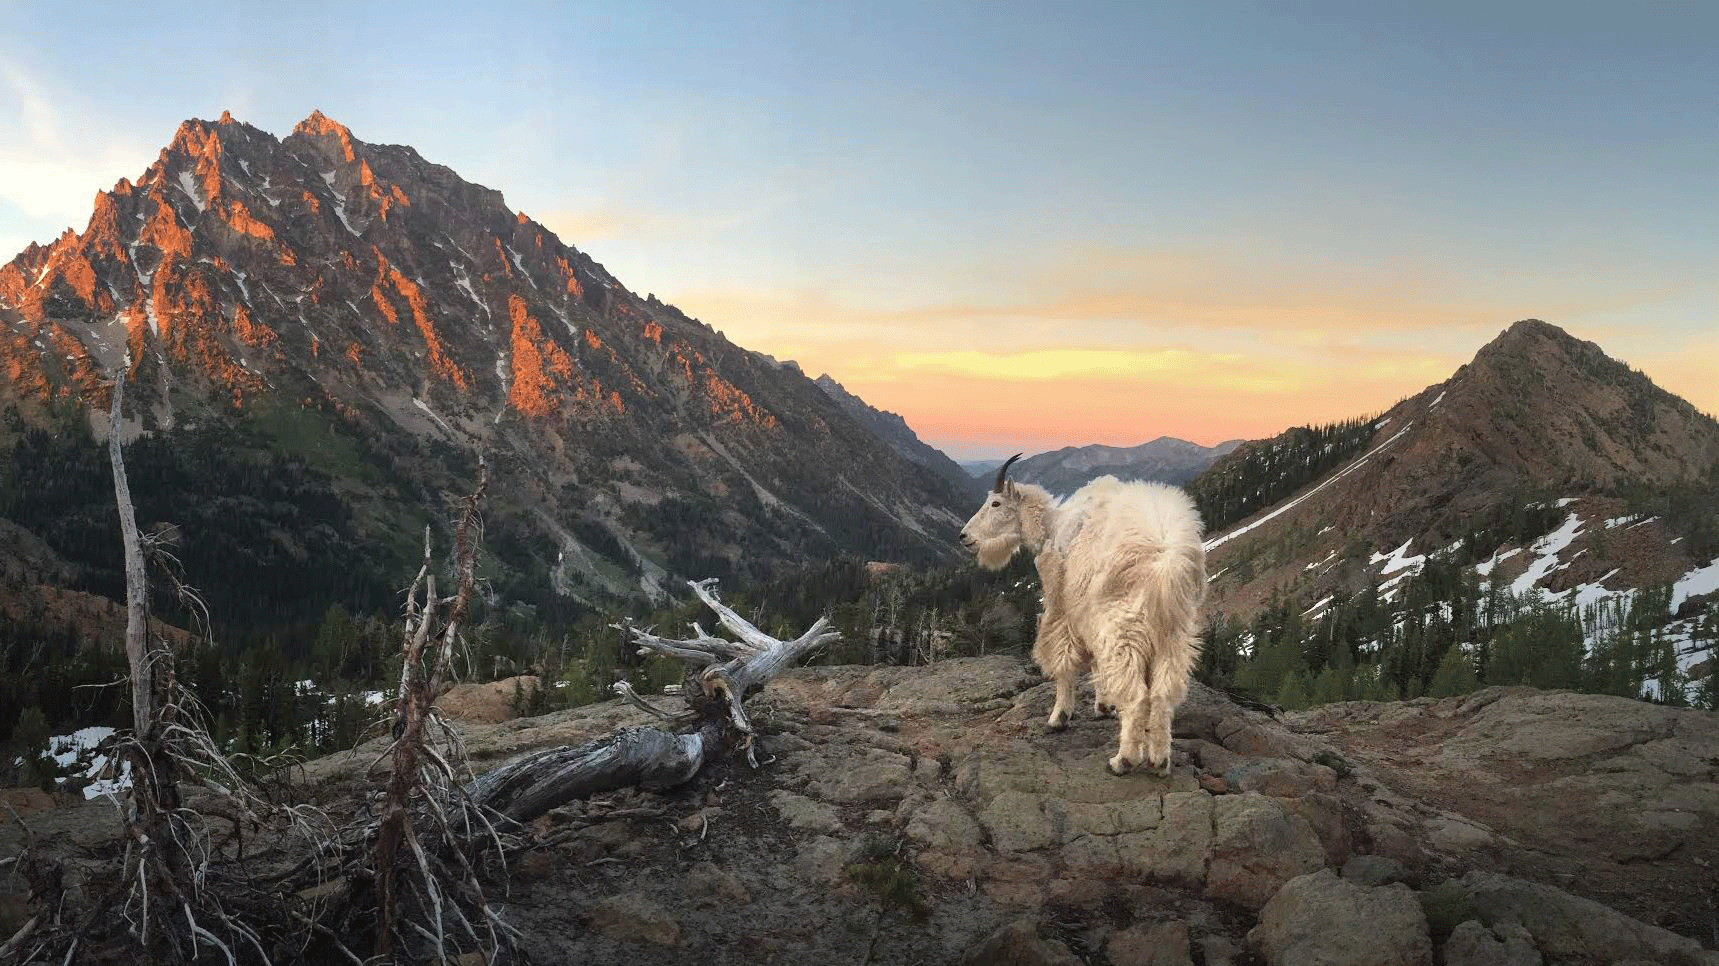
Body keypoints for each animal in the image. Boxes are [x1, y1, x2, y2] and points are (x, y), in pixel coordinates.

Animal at [955, 457, 1210, 773]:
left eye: (996, 503)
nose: (964, 536)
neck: (1052, 526)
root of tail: (1167, 558)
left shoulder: (1063, 606)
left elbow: (1064, 661)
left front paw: (1059, 716)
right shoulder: (1087, 614)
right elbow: (1098, 664)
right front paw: (1104, 705)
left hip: (1124, 626)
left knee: (1138, 695)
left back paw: (1123, 760)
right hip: (1173, 632)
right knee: (1163, 692)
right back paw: (1160, 760)